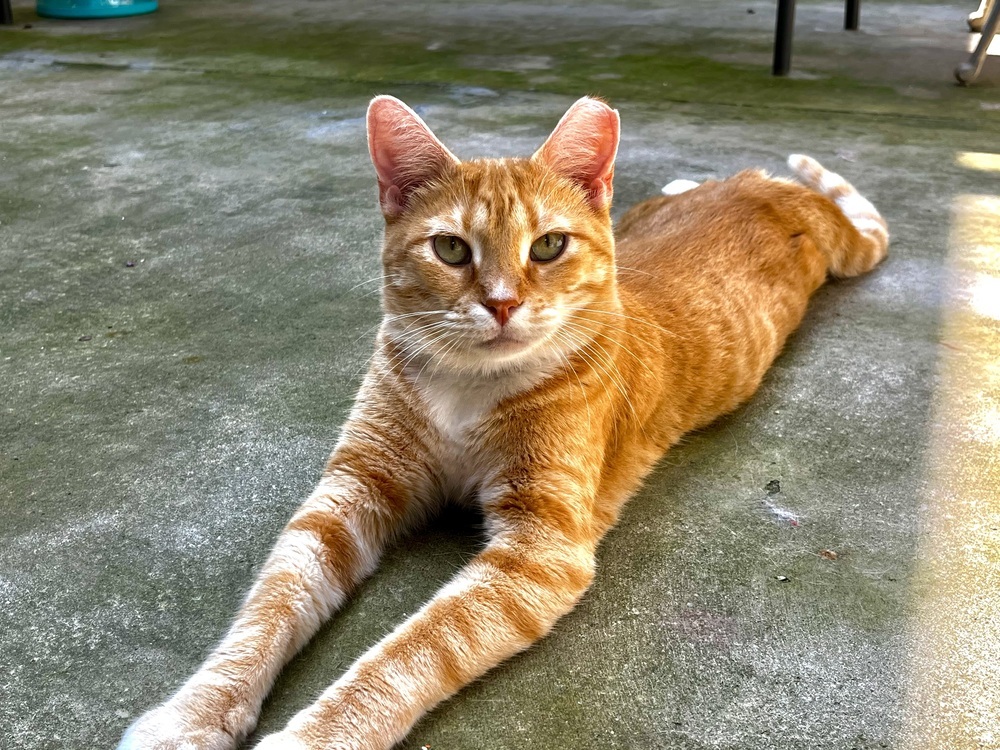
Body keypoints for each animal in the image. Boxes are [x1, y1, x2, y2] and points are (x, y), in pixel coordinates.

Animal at [113, 97, 888, 748]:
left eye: (547, 246)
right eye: (451, 249)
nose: (503, 303)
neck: (467, 387)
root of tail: (775, 190)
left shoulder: (537, 551)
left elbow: (407, 653)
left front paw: (310, 738)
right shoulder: (348, 493)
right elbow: (267, 611)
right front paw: (190, 715)